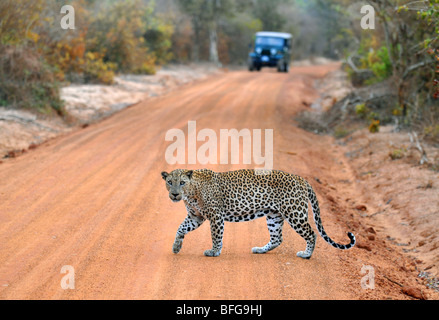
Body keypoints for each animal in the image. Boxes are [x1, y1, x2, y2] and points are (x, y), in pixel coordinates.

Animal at [160, 169, 356, 258]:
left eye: (182, 182)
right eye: (169, 182)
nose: (175, 194)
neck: (192, 193)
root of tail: (301, 179)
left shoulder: (215, 216)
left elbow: (216, 235)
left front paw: (214, 251)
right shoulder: (196, 217)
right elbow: (180, 228)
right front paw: (176, 246)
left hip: (295, 213)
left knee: (312, 233)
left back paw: (306, 254)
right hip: (274, 216)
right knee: (277, 238)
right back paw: (260, 250)